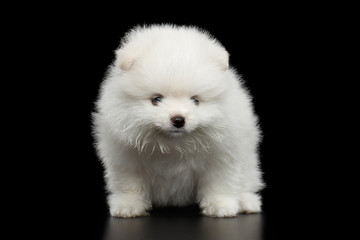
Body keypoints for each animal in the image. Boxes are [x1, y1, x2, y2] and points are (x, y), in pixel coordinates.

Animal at [91, 24, 262, 218]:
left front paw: (221, 206)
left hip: (249, 163)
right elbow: (129, 184)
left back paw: (247, 202)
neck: (173, 145)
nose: (178, 120)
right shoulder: (126, 159)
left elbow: (219, 182)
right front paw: (128, 207)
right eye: (156, 99)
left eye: (195, 101)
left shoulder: (222, 156)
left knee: (247, 182)